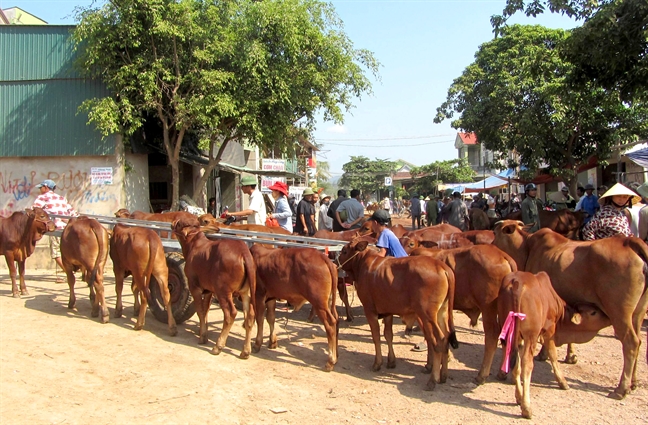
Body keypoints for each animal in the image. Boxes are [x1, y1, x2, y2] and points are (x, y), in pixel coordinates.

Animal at [173, 215, 256, 358]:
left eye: (179, 223)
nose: (172, 223)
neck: (194, 244)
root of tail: (243, 252)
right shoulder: (208, 291)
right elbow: (205, 311)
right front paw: (204, 333)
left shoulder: (194, 287)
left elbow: (200, 311)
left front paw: (202, 338)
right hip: (245, 292)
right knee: (249, 315)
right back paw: (245, 351)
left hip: (223, 291)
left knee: (231, 313)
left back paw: (218, 346)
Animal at [336, 240, 458, 390]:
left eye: (344, 251)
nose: (335, 262)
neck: (362, 263)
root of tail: (442, 266)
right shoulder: (387, 311)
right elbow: (388, 335)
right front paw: (391, 361)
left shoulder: (370, 310)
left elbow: (376, 336)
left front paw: (377, 363)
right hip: (442, 312)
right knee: (446, 337)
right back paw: (444, 375)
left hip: (427, 315)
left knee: (439, 340)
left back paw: (432, 380)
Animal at [410, 243, 516, 382]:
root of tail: (502, 254)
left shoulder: (422, 314)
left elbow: (429, 336)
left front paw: (430, 364)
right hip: (504, 311)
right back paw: (502, 373)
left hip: (488, 308)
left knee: (492, 335)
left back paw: (482, 375)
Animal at [494, 220, 644, 400]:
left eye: (496, 232)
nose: (490, 243)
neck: (527, 247)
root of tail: (629, 241)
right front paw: (568, 355)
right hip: (637, 314)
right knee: (639, 342)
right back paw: (633, 383)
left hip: (619, 313)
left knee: (631, 343)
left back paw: (621, 388)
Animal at [502, 272, 612, 418]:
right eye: (593, 312)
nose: (608, 317)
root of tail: (516, 283)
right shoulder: (549, 331)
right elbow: (553, 355)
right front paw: (563, 382)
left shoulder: (519, 338)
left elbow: (516, 364)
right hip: (531, 335)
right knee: (527, 364)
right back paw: (527, 408)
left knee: (512, 357)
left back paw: (520, 399)